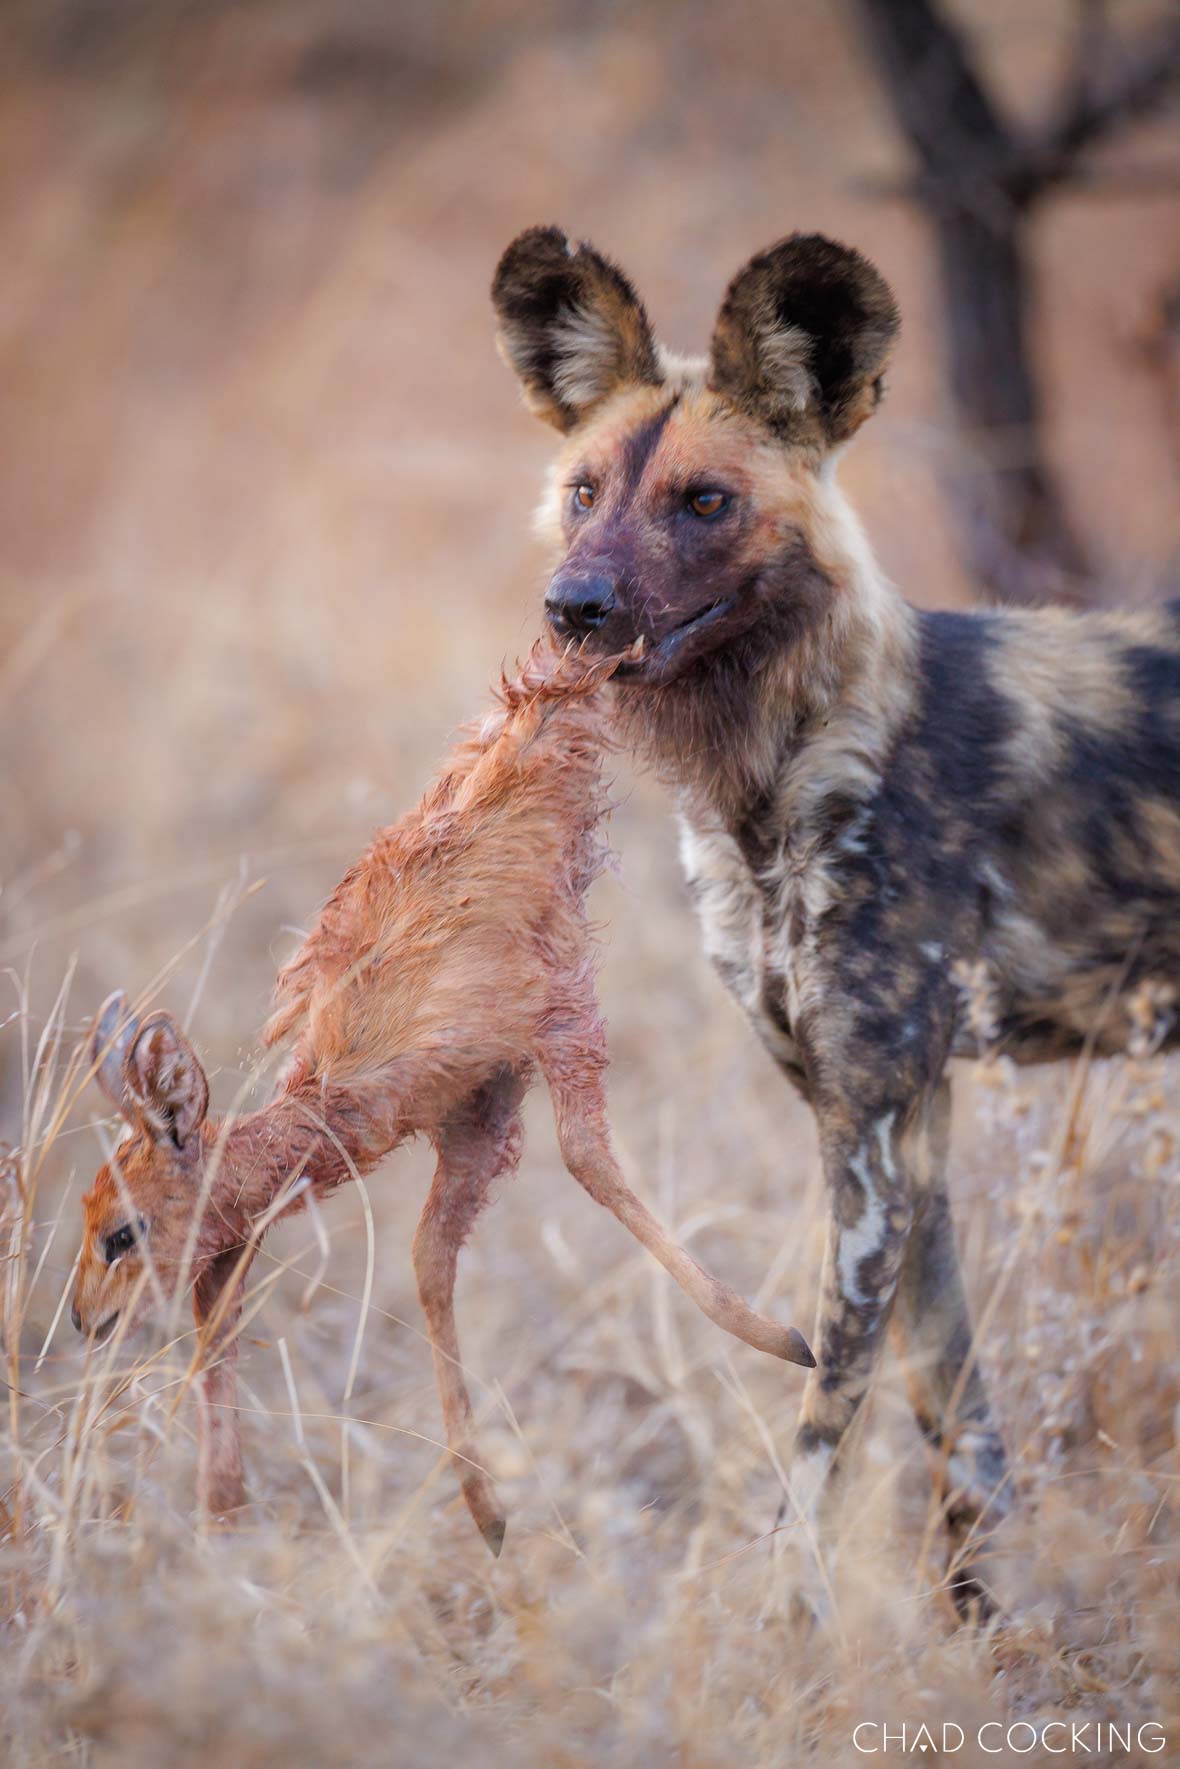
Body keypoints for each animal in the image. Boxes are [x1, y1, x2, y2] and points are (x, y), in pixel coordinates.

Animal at [72, 644, 812, 1551]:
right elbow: (420, 1264)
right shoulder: (476, 1114)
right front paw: (480, 1508)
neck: (346, 1073)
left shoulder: (560, 1021)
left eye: (122, 1231)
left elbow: (589, 1163)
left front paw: (782, 1338)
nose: (87, 1321)